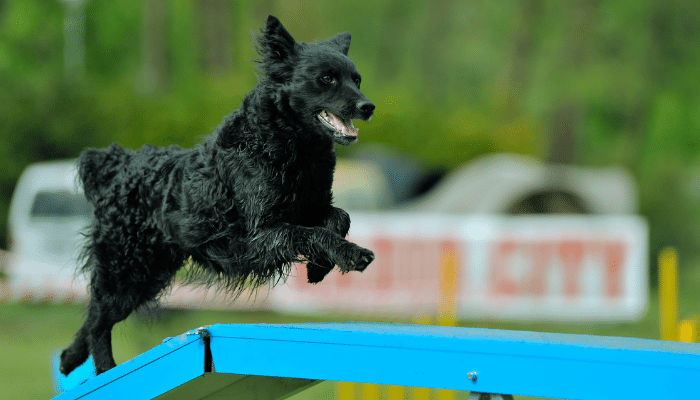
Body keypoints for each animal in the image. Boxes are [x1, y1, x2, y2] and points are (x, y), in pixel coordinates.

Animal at [60, 15, 378, 376]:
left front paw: (318, 269)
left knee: (95, 314)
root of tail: (118, 163)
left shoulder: (310, 207)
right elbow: (312, 234)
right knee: (99, 320)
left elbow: (339, 218)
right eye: (326, 78)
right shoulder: (261, 233)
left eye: (357, 79)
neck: (289, 145)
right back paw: (105, 371)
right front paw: (350, 255)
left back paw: (69, 358)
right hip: (126, 268)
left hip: (146, 276)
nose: (368, 106)